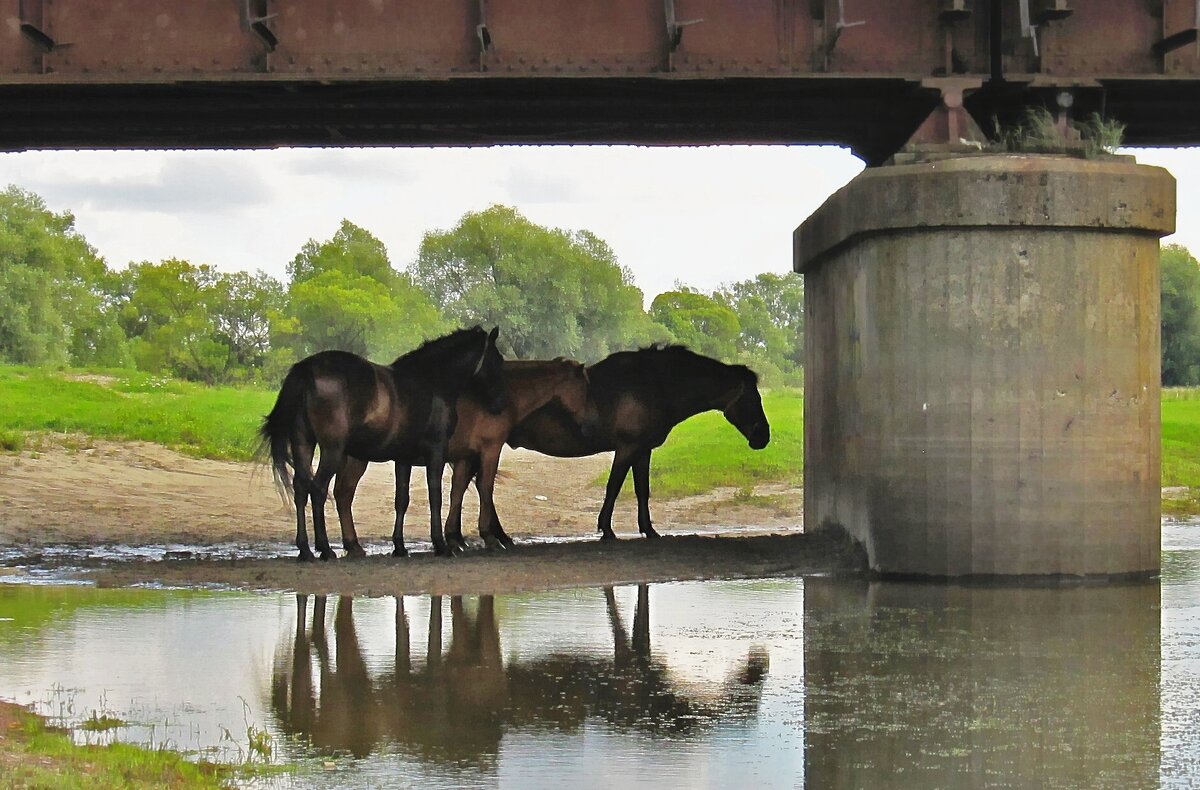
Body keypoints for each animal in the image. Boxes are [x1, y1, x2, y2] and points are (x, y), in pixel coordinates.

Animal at [260, 326, 504, 559]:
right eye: (497, 360)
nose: (499, 405)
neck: (432, 380)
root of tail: (307, 368)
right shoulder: (436, 451)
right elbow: (435, 496)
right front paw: (440, 545)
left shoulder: (404, 458)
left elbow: (401, 499)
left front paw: (400, 546)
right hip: (332, 450)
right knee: (318, 490)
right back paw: (325, 549)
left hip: (304, 444)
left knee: (301, 489)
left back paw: (305, 549)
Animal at [333, 357, 590, 554]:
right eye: (585, 387)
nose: (588, 421)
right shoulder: (490, 449)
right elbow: (485, 487)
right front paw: (488, 537)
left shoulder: (464, 457)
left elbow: (458, 491)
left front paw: (454, 538)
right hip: (357, 459)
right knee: (345, 493)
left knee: (341, 494)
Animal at [504, 345, 768, 542]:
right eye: (752, 399)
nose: (763, 437)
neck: (654, 384)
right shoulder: (627, 448)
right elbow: (613, 487)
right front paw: (607, 530)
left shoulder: (642, 451)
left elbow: (642, 490)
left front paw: (648, 529)